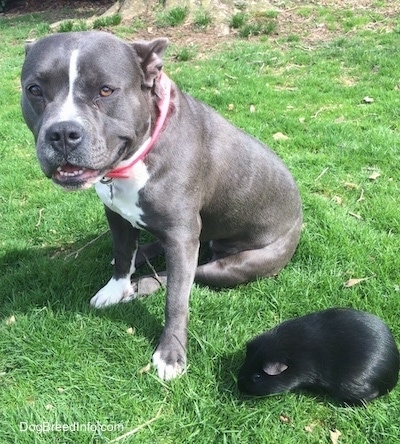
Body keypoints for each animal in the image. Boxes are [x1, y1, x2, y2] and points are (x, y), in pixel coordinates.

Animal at [20, 31, 302, 380]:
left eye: (105, 90)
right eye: (34, 89)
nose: (62, 132)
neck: (136, 157)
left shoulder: (181, 237)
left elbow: (176, 300)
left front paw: (171, 355)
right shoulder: (116, 215)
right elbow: (122, 254)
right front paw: (116, 287)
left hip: (236, 265)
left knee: (192, 274)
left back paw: (143, 284)